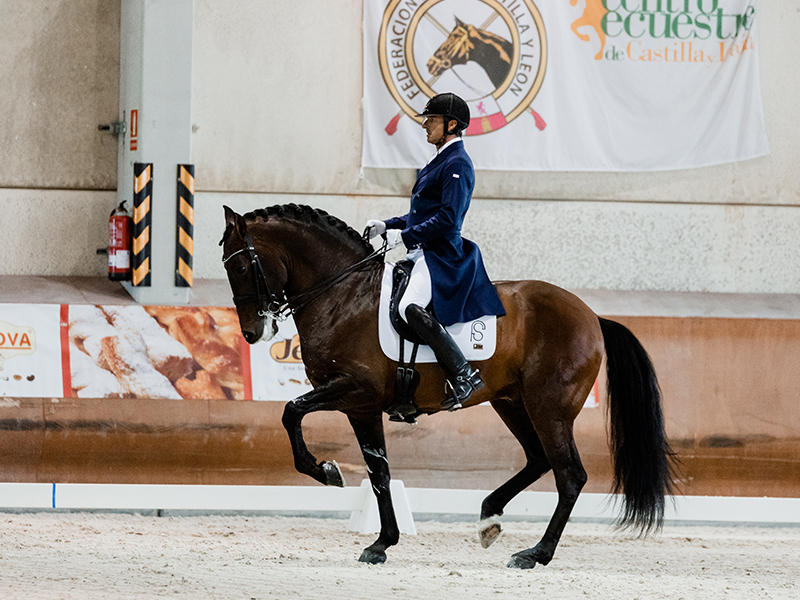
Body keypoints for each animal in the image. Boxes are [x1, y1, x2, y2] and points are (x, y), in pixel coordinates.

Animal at [220, 204, 674, 569]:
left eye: (240, 267)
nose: (252, 332)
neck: (342, 295)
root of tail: (592, 316)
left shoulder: (354, 389)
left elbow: (291, 410)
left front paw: (326, 471)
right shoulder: (360, 407)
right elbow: (379, 473)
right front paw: (381, 544)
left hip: (549, 407)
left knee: (570, 475)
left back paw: (535, 554)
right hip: (513, 403)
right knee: (538, 459)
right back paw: (489, 517)